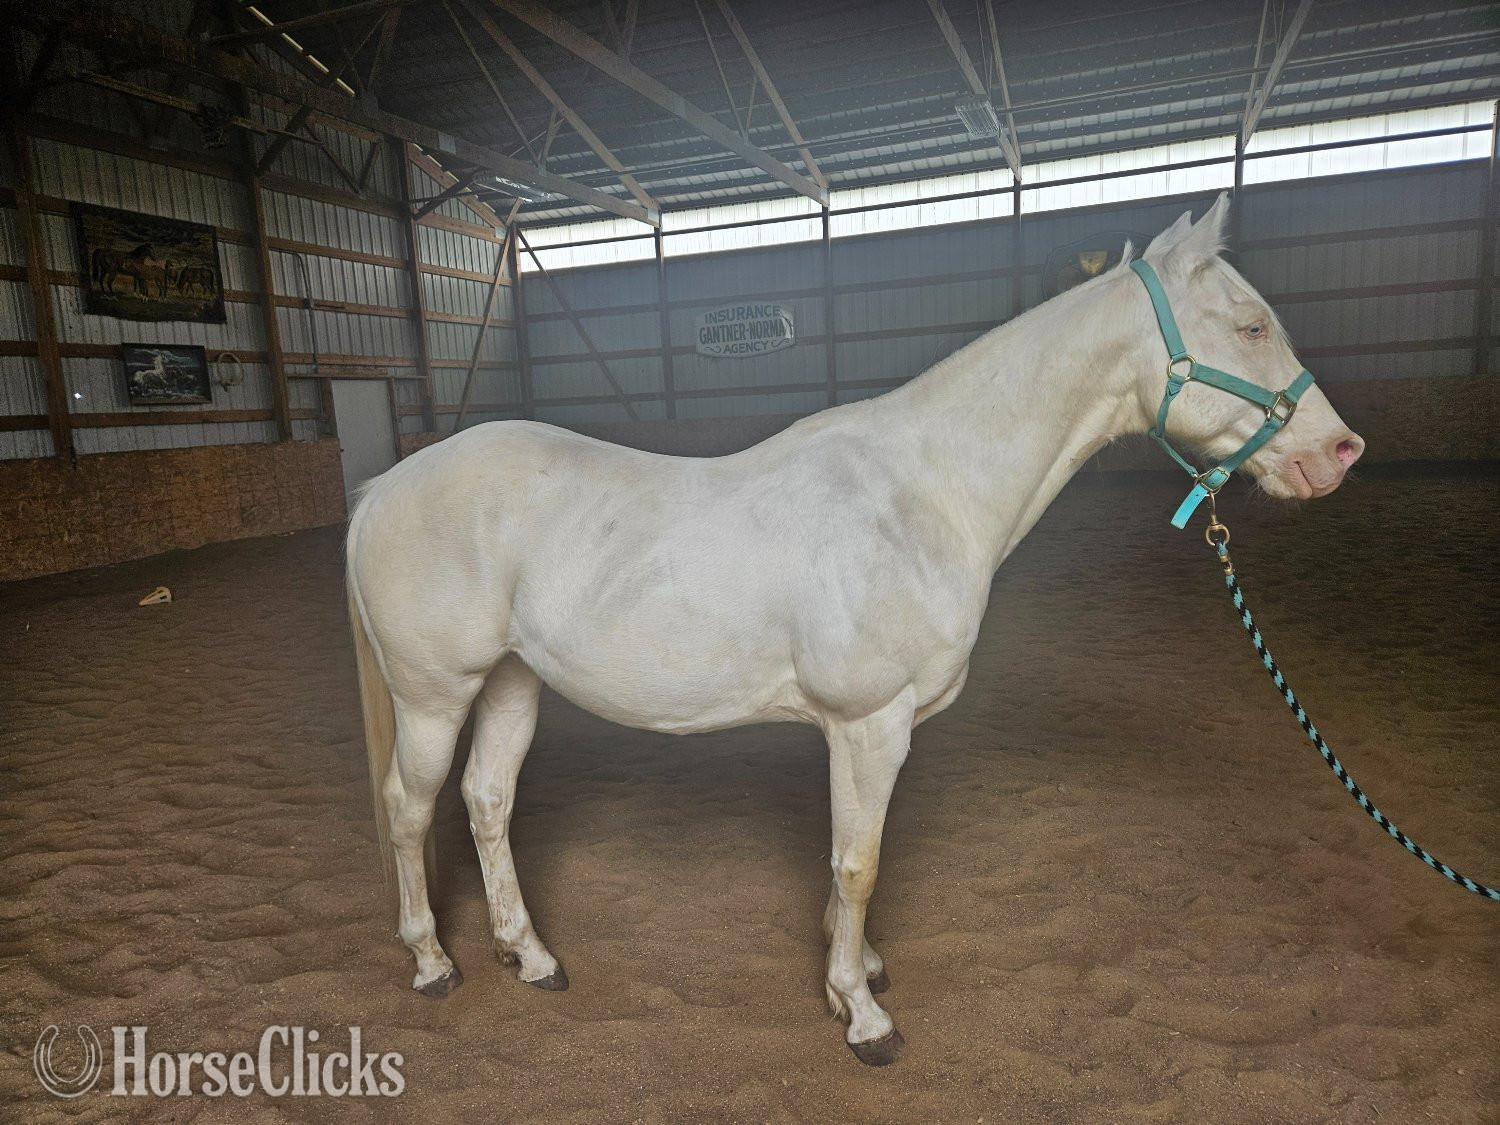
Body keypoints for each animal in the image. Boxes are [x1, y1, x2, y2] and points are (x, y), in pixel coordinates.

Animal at [345, 195, 1364, 1065]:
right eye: (1251, 325)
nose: (1339, 452)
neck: (923, 492)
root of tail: (380, 489)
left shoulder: (861, 733)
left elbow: (845, 864)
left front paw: (855, 970)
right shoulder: (870, 723)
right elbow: (862, 862)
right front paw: (863, 1014)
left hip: (512, 683)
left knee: (486, 802)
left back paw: (532, 955)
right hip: (435, 696)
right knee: (408, 808)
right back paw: (433, 962)